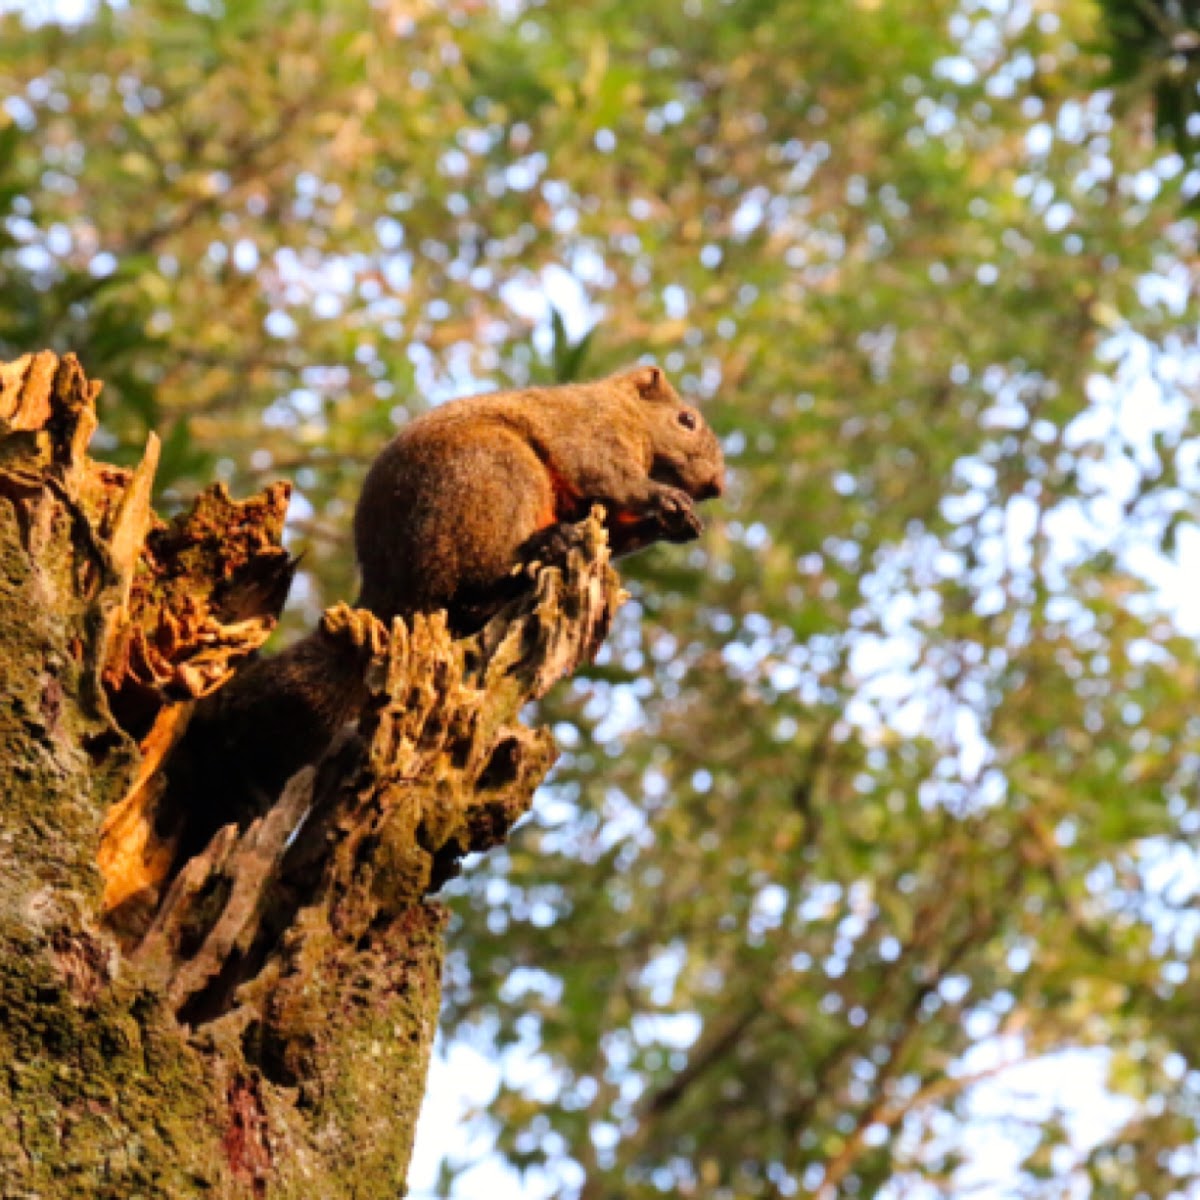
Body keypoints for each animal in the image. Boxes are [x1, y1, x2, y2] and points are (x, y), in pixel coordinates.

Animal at [156, 362, 724, 873]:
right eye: (687, 419)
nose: (716, 486)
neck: (625, 412)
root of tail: (398, 597)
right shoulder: (592, 432)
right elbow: (609, 477)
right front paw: (665, 497)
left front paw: (679, 523)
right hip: (495, 479)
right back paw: (544, 547)